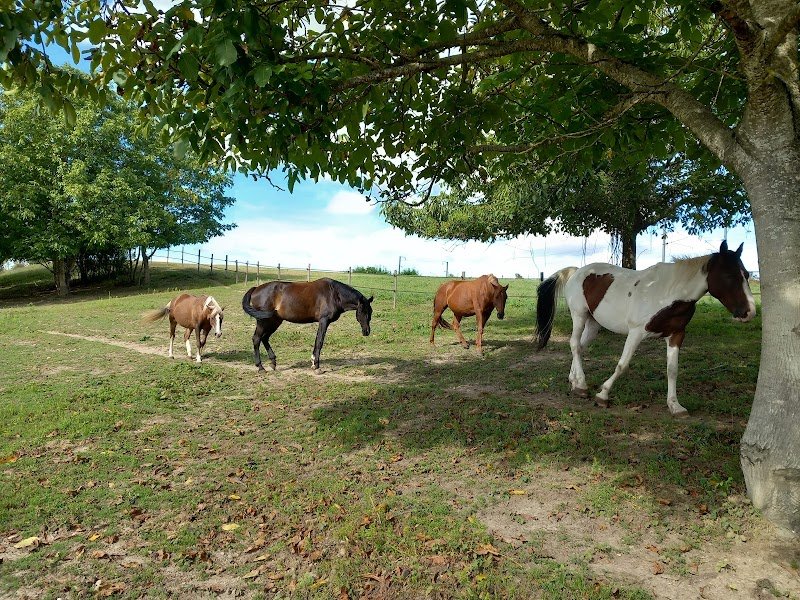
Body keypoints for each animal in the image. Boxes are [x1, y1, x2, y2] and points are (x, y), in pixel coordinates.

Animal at [241, 278, 374, 371]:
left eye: (371, 311)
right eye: (363, 311)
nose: (366, 331)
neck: (334, 293)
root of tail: (256, 288)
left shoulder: (322, 322)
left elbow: (316, 341)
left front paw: (313, 363)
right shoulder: (324, 320)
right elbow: (320, 341)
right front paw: (317, 366)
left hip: (274, 321)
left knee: (264, 338)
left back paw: (273, 363)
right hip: (264, 321)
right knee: (257, 339)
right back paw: (260, 367)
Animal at [535, 241, 756, 416]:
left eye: (746, 274)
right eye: (728, 276)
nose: (750, 312)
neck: (668, 293)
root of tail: (577, 272)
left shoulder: (676, 335)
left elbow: (672, 370)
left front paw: (675, 406)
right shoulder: (636, 333)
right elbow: (622, 365)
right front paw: (603, 394)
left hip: (593, 323)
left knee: (580, 347)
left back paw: (574, 381)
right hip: (579, 316)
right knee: (574, 344)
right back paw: (581, 385)